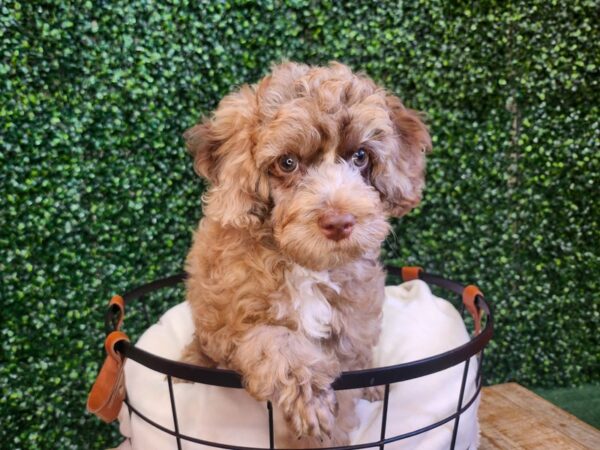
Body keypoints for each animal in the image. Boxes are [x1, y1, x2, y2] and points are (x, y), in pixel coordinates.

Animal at [180, 62, 428, 446]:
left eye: (360, 156)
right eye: (287, 162)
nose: (339, 222)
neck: (305, 264)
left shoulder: (350, 329)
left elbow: (346, 390)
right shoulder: (232, 324)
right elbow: (272, 338)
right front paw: (308, 397)